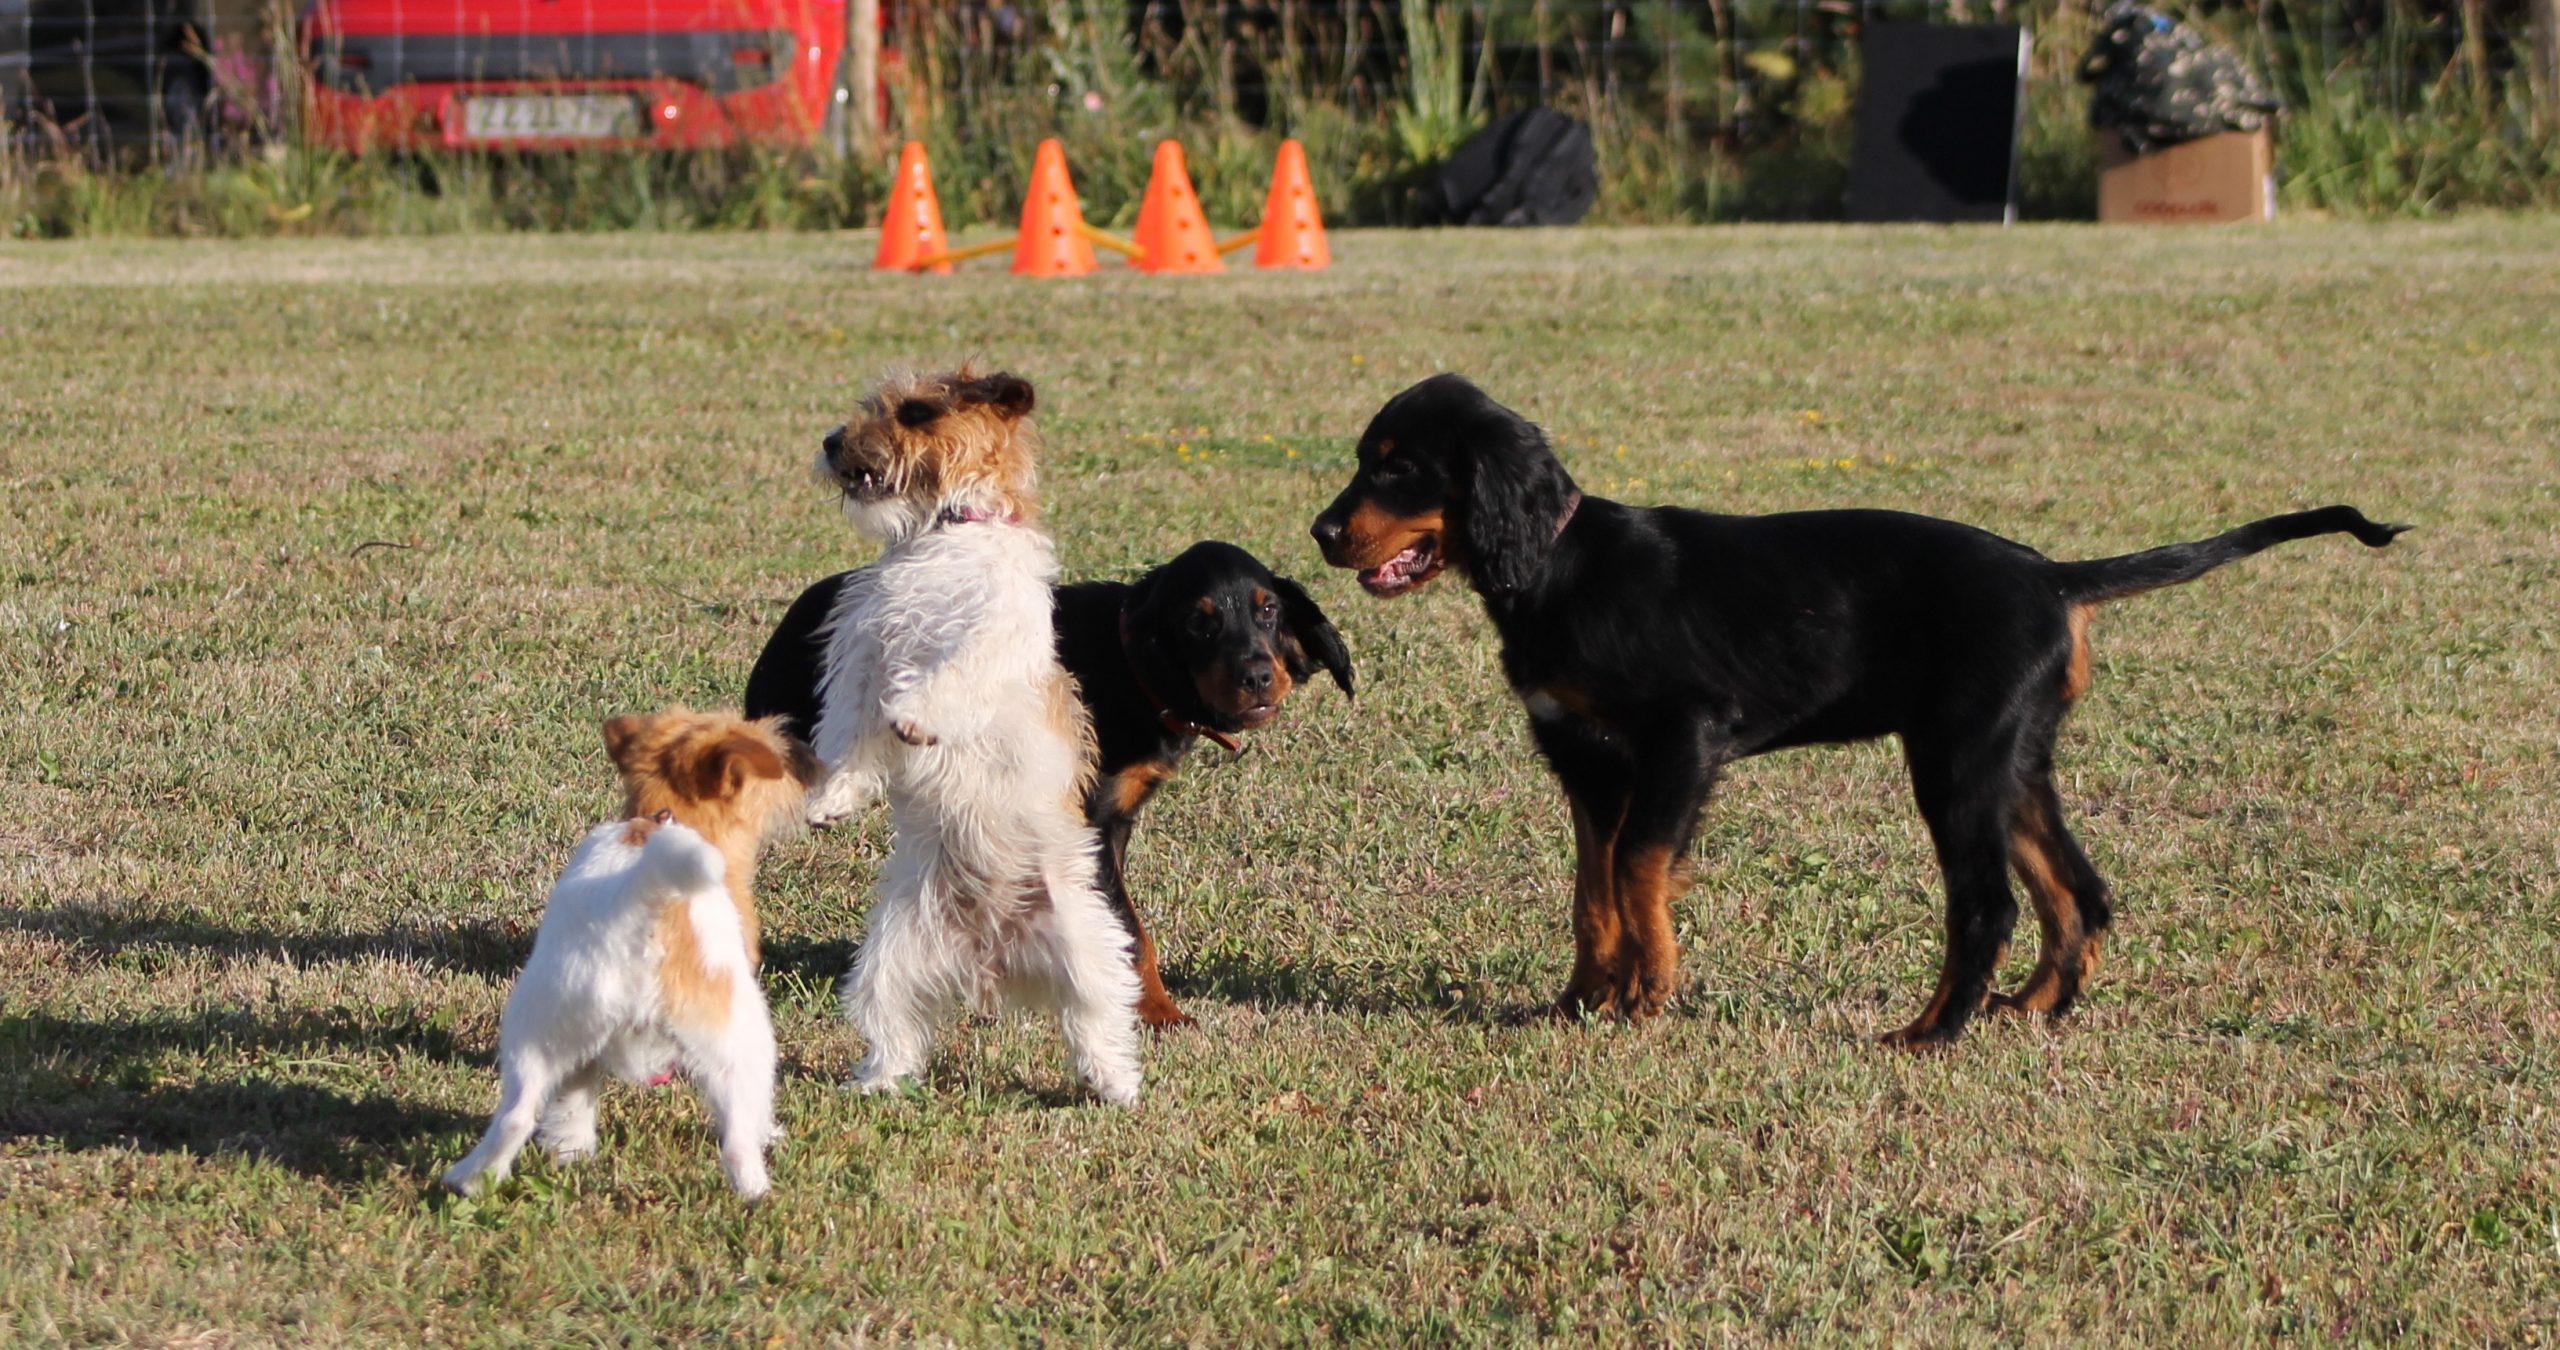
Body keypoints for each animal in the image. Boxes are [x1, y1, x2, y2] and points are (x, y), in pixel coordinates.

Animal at [440, 712, 814, 1198]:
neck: (664, 815)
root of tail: (650, 889)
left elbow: (572, 1106)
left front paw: (571, 1152)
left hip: (537, 1034)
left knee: (515, 1118)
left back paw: (469, 1178)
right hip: (745, 1040)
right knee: (741, 1133)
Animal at [747, 537, 1351, 1024]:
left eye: (1268, 610)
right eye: (1198, 622)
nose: (1259, 676)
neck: (1128, 662)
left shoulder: (1108, 821)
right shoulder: (1089, 822)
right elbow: (1130, 929)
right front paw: (1157, 1010)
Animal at [814, 368, 1146, 1111]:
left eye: (916, 411)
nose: (830, 440)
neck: (949, 535)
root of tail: (991, 952)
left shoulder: (988, 637)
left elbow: (949, 675)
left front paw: (916, 716)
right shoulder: (864, 652)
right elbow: (847, 728)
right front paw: (831, 798)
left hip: (1092, 947)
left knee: (1097, 1020)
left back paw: (1114, 1083)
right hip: (888, 958)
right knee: (894, 1028)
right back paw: (877, 1081)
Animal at [1310, 374, 2406, 1050]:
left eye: (1396, 466)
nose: (1320, 532)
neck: (1556, 565)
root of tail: (2051, 576)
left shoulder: (1683, 737)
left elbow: (1638, 870)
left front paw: (1648, 993)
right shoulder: (1585, 759)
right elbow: (1593, 886)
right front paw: (1584, 999)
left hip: (1957, 758)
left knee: (1990, 901)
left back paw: (1930, 1033)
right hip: (2012, 759)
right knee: (2077, 893)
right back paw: (2027, 1011)